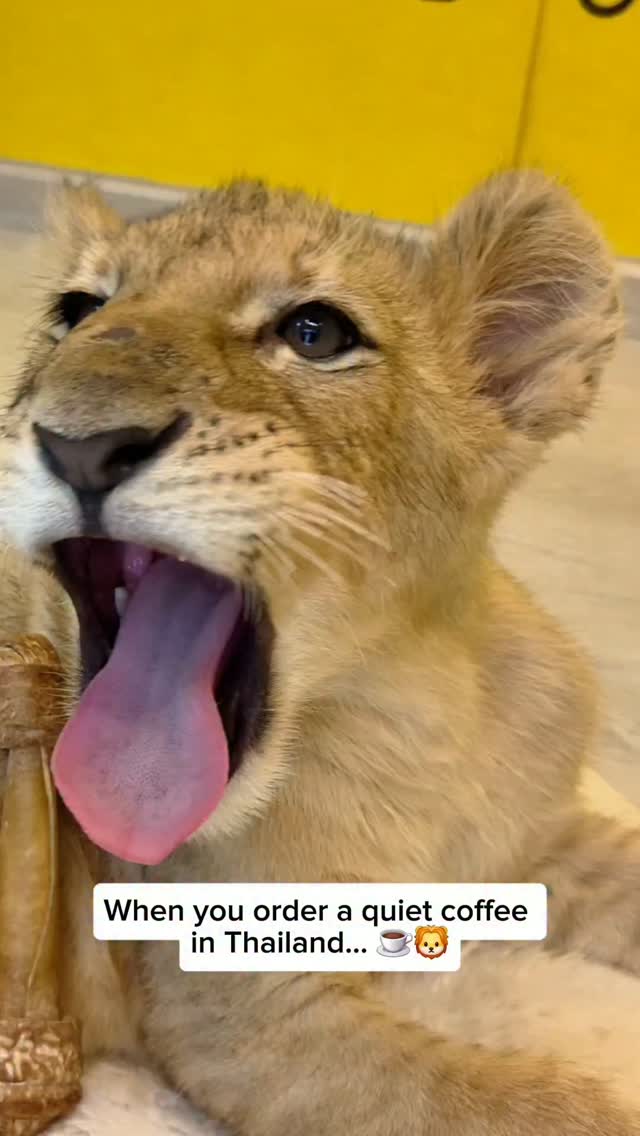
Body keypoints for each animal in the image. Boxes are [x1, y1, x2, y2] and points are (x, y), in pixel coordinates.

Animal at [1, 171, 640, 1134]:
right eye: (78, 312)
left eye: (316, 333)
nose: (78, 445)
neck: (408, 723)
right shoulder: (252, 1016)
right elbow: (538, 1107)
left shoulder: (537, 841)